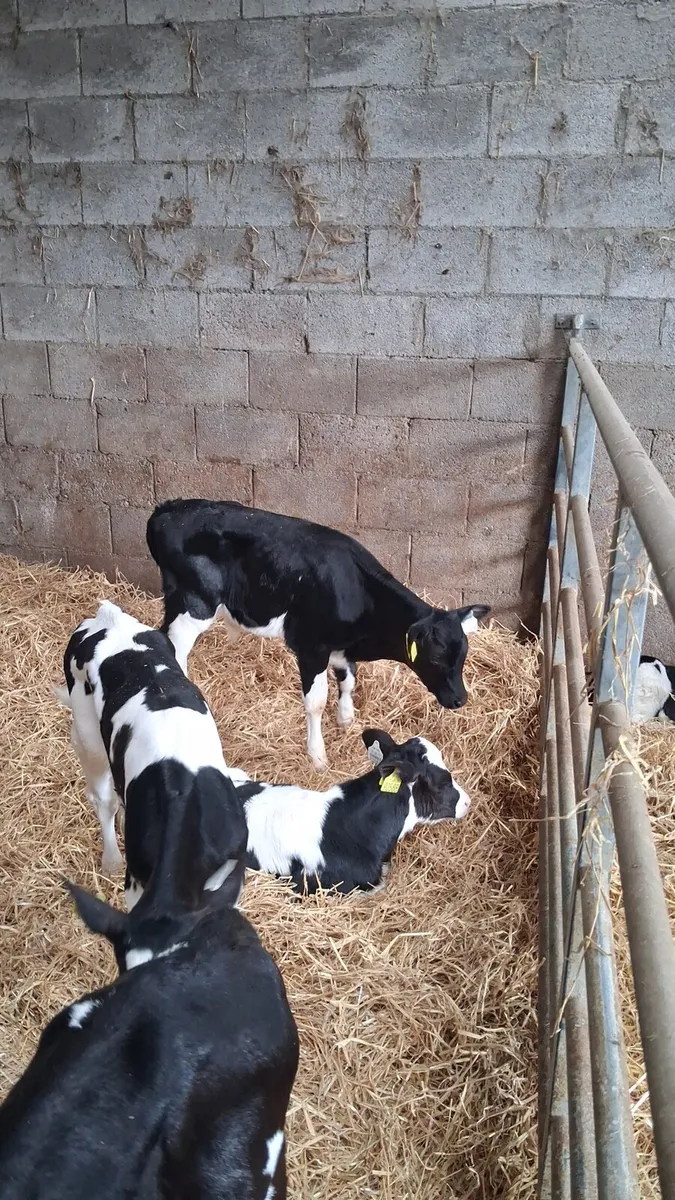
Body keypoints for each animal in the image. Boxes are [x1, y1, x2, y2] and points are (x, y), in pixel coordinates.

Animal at [146, 499, 490, 769]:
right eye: (435, 656)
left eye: (464, 654)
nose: (460, 699)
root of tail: (166, 509)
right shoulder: (311, 647)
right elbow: (315, 702)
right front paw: (318, 756)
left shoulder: (341, 647)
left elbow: (349, 680)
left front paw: (347, 719)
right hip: (195, 602)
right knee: (176, 646)